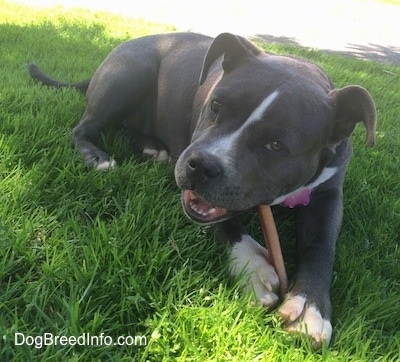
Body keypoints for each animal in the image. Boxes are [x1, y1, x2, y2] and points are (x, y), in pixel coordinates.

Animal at [28, 31, 376, 348]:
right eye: (216, 105)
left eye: (276, 145)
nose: (201, 164)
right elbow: (225, 222)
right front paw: (252, 265)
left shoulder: (329, 196)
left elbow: (321, 246)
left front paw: (310, 306)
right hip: (130, 73)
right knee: (83, 127)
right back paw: (96, 156)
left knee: (126, 128)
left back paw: (150, 146)